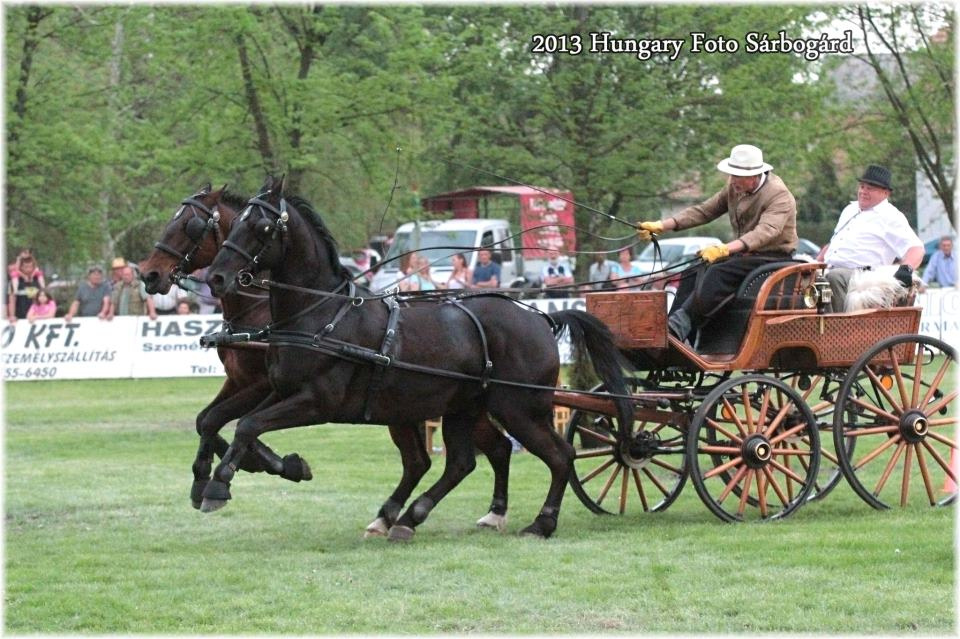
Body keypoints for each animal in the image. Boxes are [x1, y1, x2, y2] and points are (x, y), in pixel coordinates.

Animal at [138, 184, 516, 536]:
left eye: (190, 225)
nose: (149, 274)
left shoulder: (263, 386)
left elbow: (238, 424)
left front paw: (273, 464)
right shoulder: (242, 381)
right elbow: (208, 420)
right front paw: (225, 471)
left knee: (492, 449)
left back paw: (489, 512)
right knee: (450, 456)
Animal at [206, 176, 632, 540]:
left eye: (262, 227)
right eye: (235, 222)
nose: (216, 278)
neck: (323, 313)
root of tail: (541, 317)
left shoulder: (316, 401)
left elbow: (247, 425)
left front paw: (218, 484)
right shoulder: (279, 390)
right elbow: (237, 423)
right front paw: (267, 466)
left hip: (519, 408)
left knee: (559, 455)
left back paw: (540, 522)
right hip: (462, 407)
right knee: (464, 460)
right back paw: (413, 516)